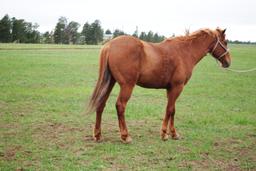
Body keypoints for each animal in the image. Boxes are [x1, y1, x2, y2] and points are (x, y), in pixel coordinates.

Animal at [87, 27, 231, 143]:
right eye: (225, 42)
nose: (228, 62)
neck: (184, 52)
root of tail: (109, 45)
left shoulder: (171, 89)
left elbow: (173, 110)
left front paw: (173, 133)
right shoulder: (177, 87)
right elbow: (170, 110)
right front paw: (164, 134)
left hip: (110, 82)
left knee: (101, 104)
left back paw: (98, 135)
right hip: (127, 85)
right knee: (120, 106)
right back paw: (125, 136)